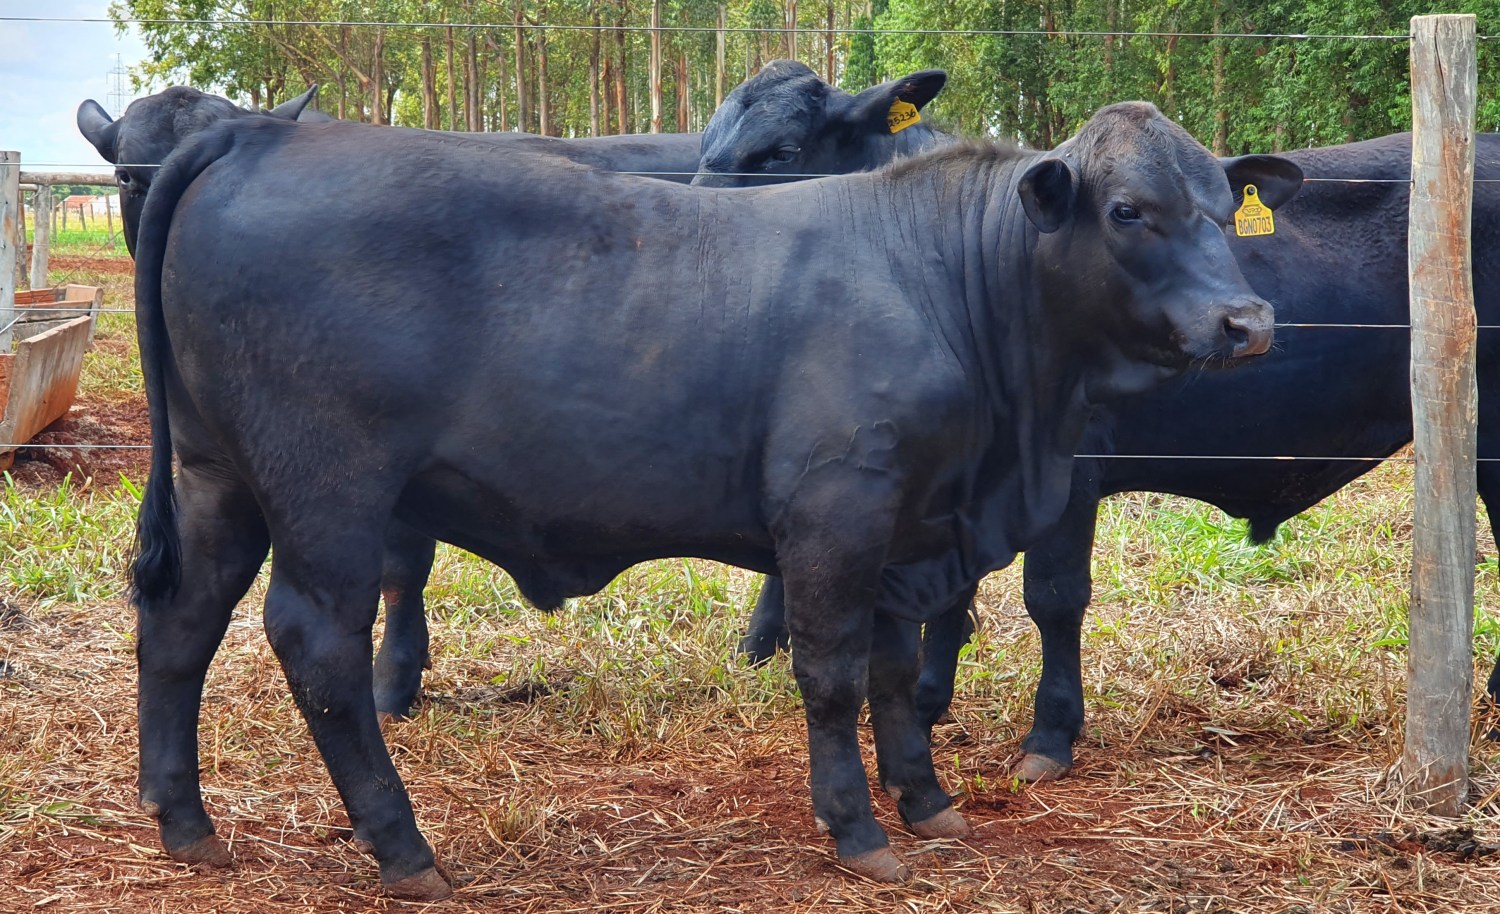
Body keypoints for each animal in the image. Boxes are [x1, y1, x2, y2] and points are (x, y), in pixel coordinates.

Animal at [129, 105, 1296, 888]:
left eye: (1221, 206)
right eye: (1129, 210)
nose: (1248, 321)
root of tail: (261, 134)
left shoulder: (908, 526)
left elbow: (891, 670)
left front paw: (927, 801)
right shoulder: (836, 512)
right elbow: (830, 675)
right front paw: (859, 829)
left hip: (217, 478)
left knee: (179, 622)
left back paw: (185, 823)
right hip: (329, 492)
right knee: (317, 646)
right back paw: (403, 846)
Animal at [744, 132, 1500, 780]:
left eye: (783, 149)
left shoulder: (1068, 477)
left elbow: (1053, 598)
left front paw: (1050, 734)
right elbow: (949, 595)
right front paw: (929, 704)